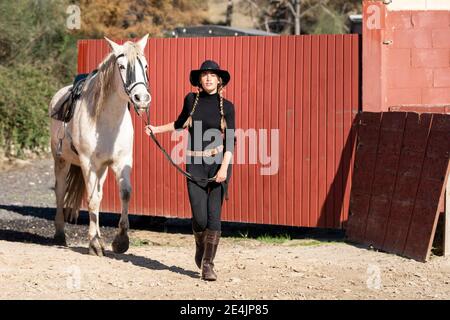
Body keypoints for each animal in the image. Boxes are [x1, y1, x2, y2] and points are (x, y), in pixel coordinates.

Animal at [48, 34, 151, 255]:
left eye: (146, 65)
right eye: (122, 66)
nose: (142, 98)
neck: (108, 120)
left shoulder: (121, 162)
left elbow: (125, 193)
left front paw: (121, 241)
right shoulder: (88, 164)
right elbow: (92, 200)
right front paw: (95, 243)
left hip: (101, 169)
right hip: (61, 160)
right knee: (61, 191)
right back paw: (60, 234)